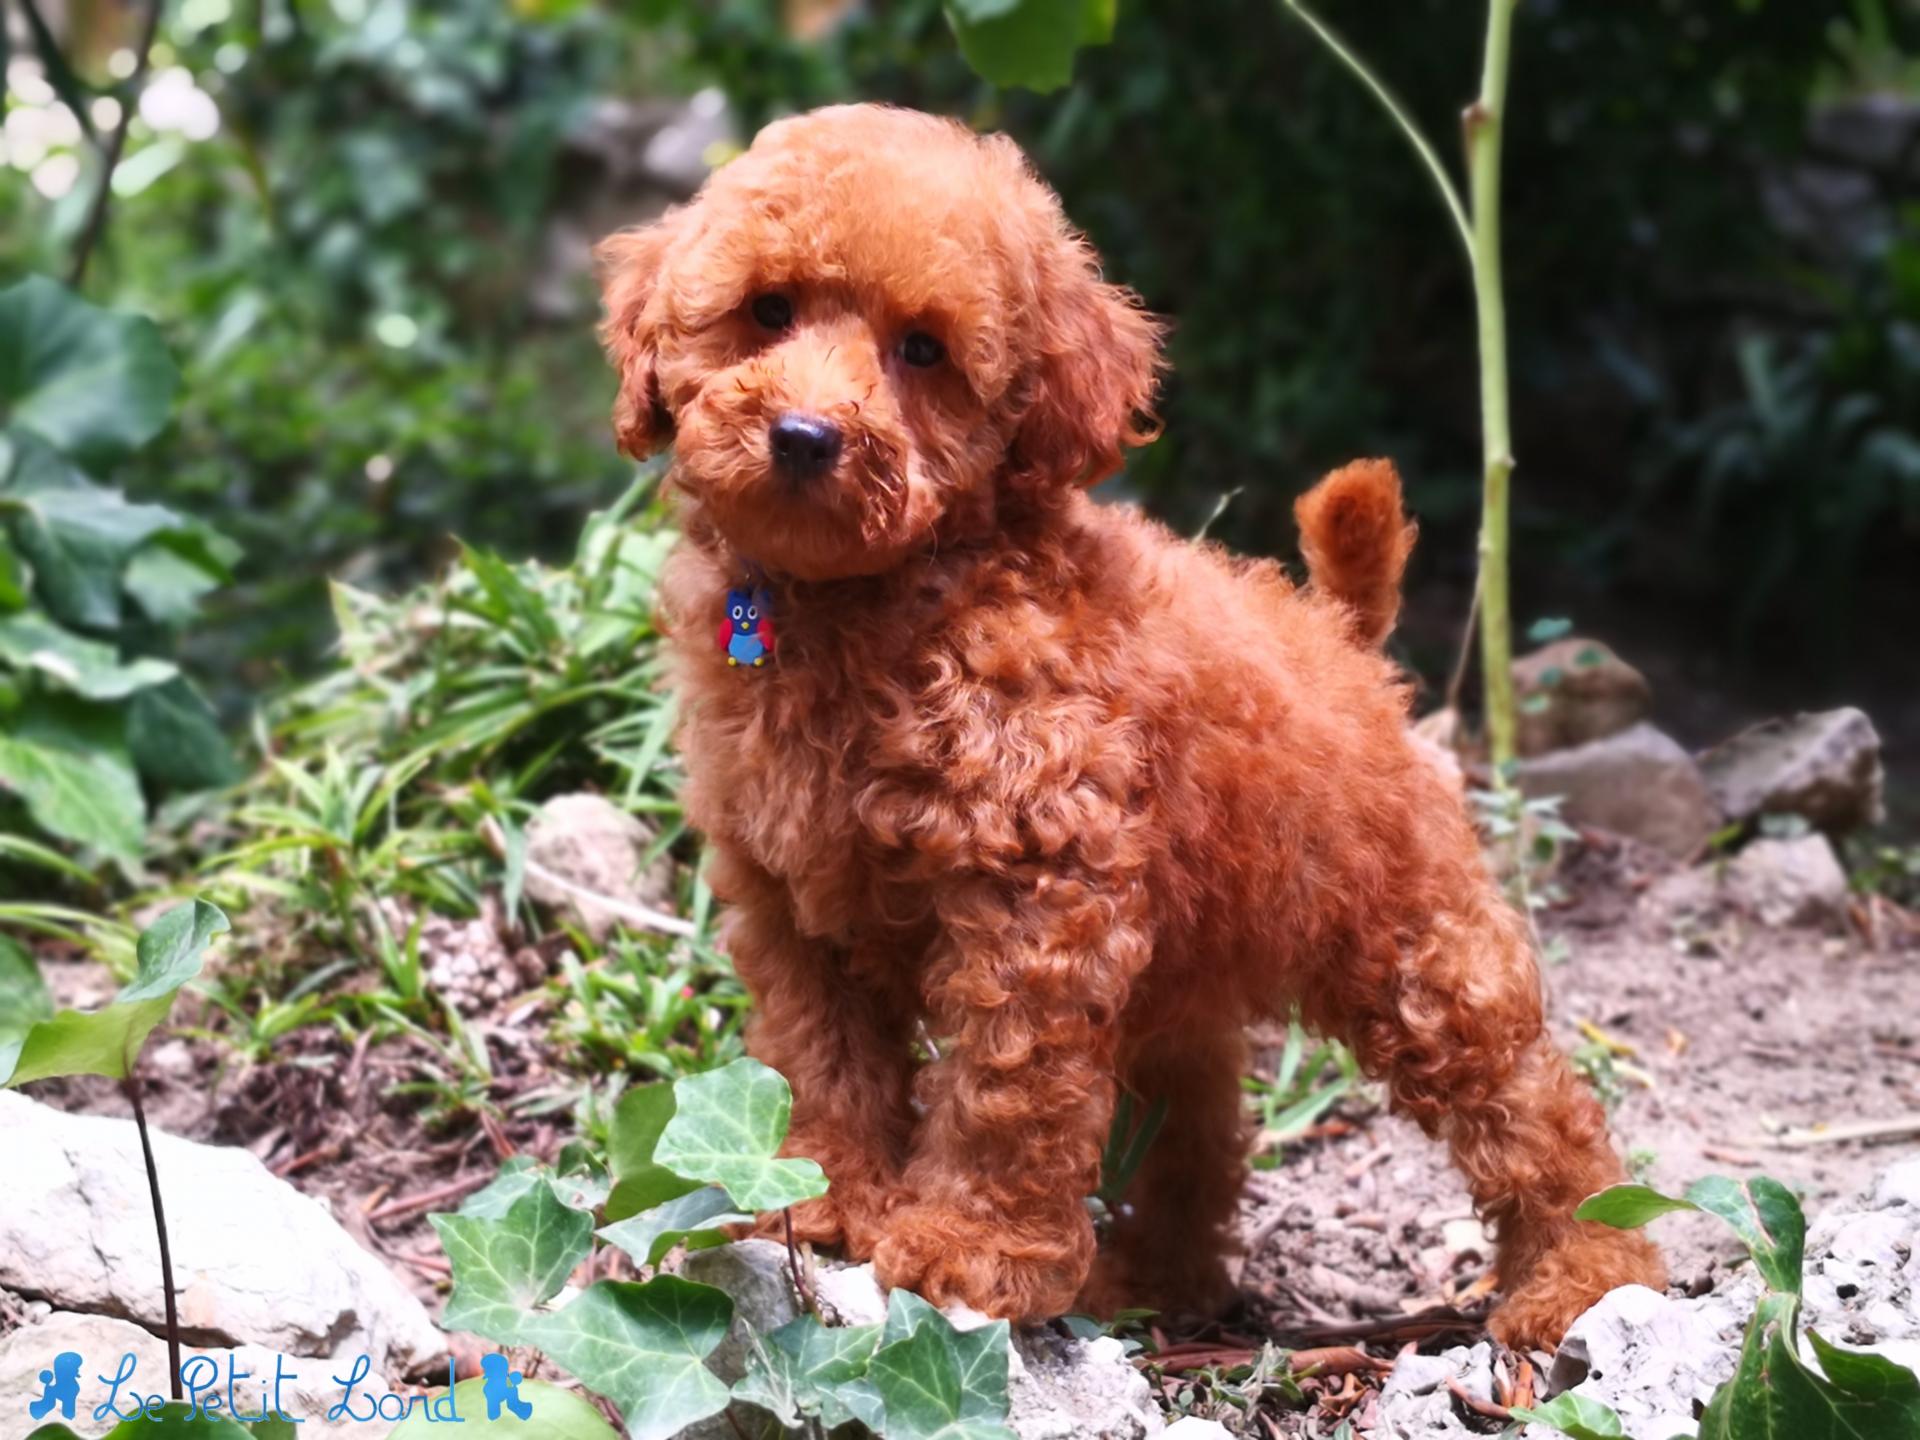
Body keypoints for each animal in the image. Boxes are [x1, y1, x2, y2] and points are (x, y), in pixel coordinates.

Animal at [599, 104, 1666, 1351]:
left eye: (925, 351)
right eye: (768, 310)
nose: (807, 435)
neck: (875, 600)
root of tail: (1339, 641)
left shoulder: (1034, 902)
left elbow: (1006, 1091)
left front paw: (965, 1250)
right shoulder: (789, 903)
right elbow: (824, 1061)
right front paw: (821, 1201)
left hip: (1412, 936)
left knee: (1525, 1095)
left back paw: (1588, 1268)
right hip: (1187, 957)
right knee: (1198, 1114)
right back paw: (1160, 1280)